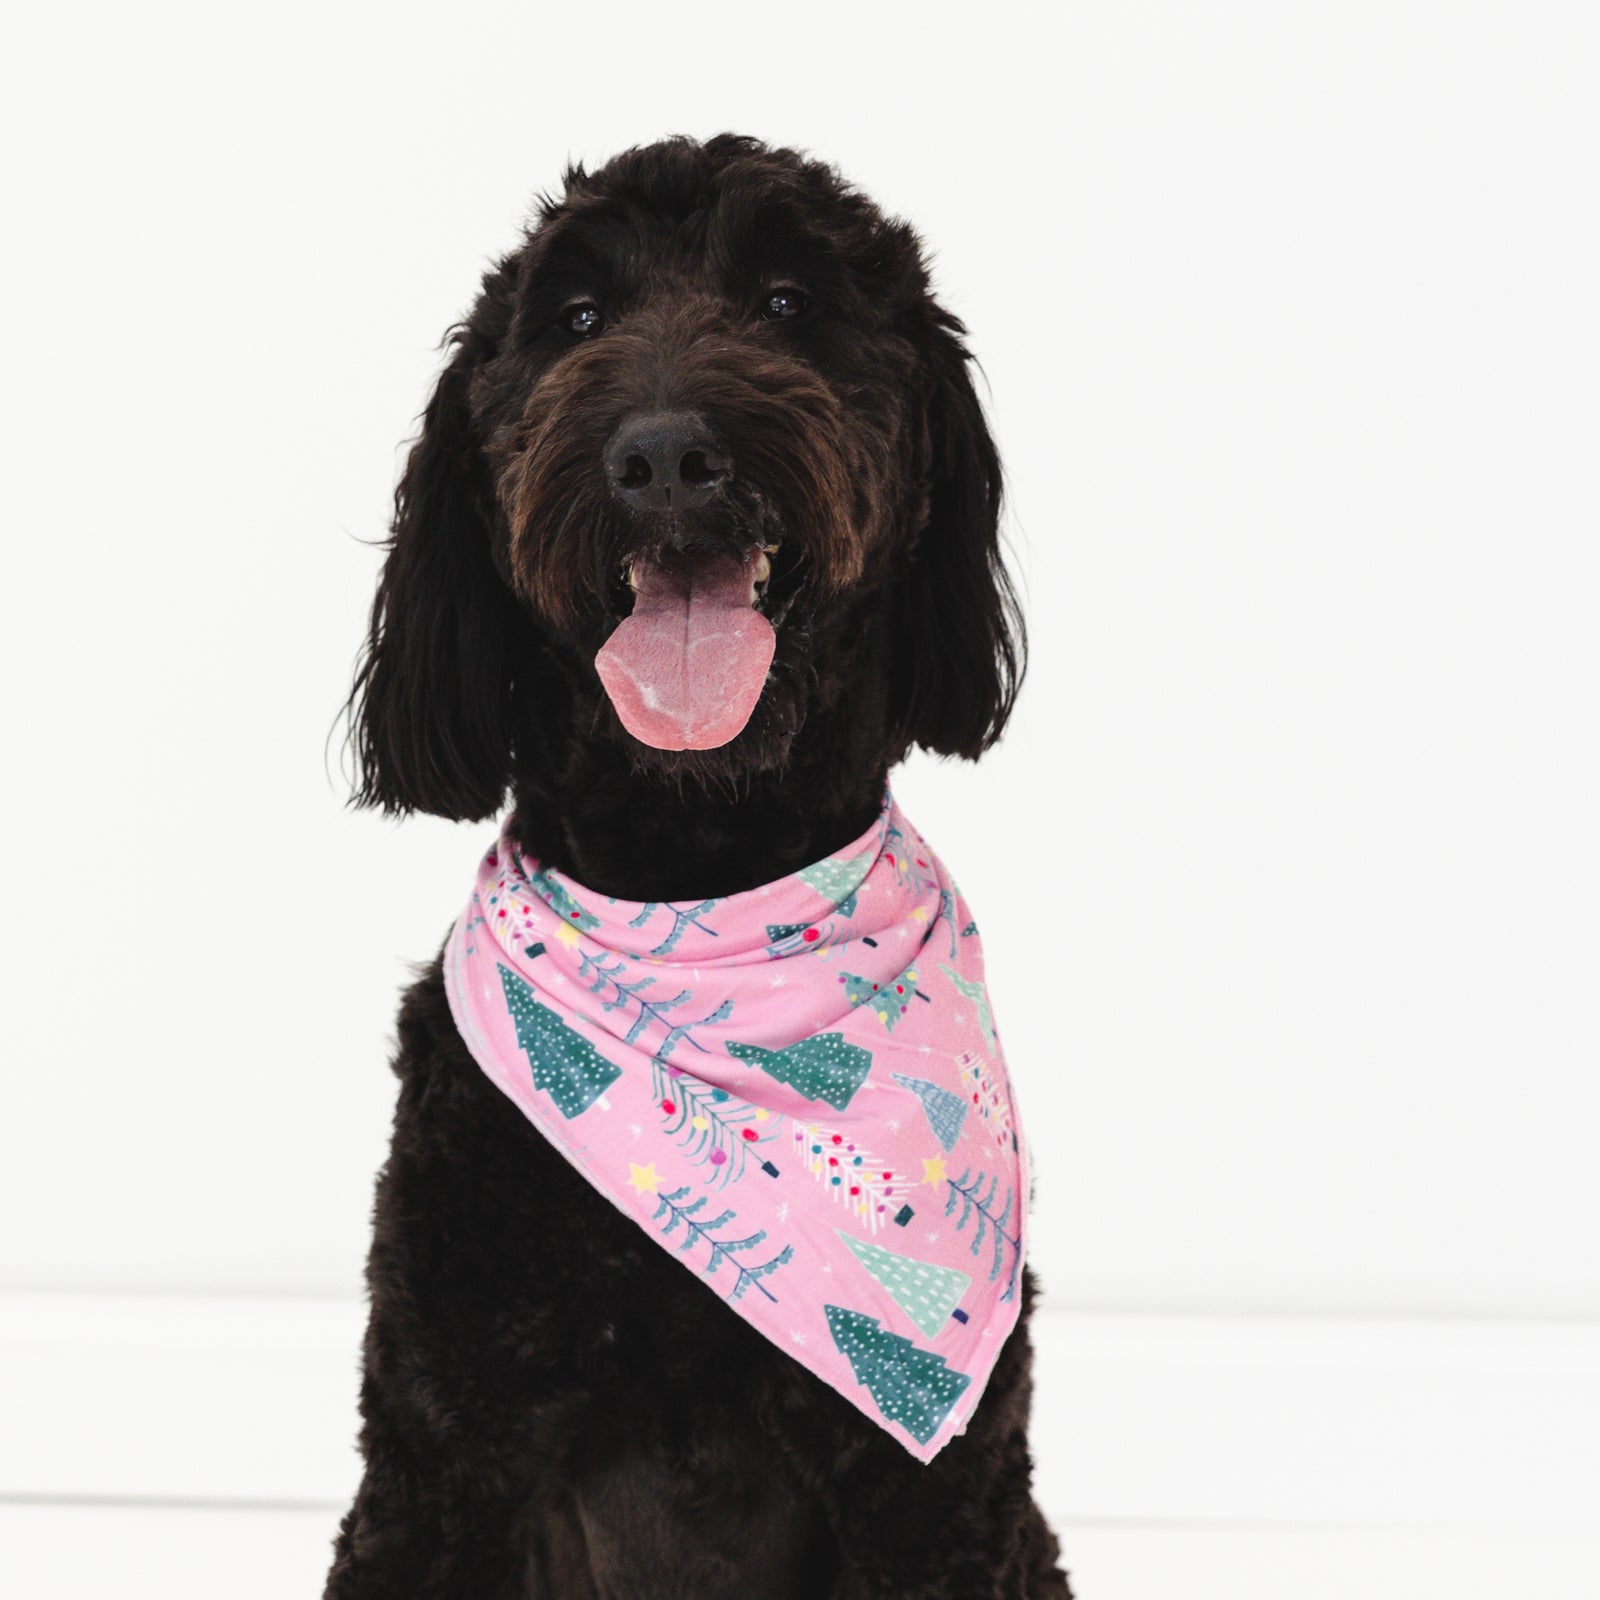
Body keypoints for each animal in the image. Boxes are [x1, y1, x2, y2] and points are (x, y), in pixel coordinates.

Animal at [329, 131, 1068, 1593]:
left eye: (787, 301)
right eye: (572, 320)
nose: (667, 456)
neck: (698, 883)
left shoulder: (944, 1499)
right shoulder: (436, 1460)